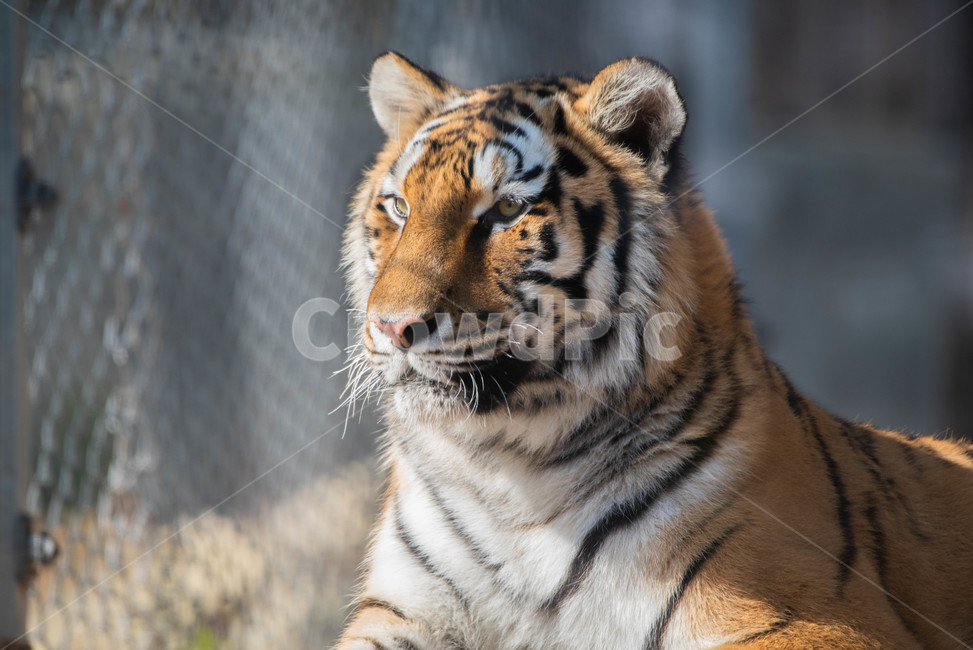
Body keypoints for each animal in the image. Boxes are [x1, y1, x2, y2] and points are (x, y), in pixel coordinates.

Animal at [336, 51, 973, 649]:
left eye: (508, 210)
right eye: (399, 207)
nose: (392, 326)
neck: (510, 470)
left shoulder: (815, 615)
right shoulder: (403, 609)